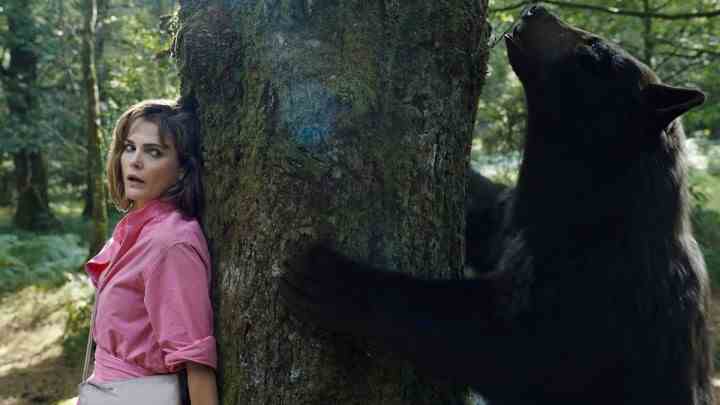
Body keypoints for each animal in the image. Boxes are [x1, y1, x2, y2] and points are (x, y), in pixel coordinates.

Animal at [280, 6, 708, 404]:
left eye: (595, 49)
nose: (536, 9)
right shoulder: (516, 220)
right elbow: (485, 213)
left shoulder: (598, 290)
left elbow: (502, 346)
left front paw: (333, 277)